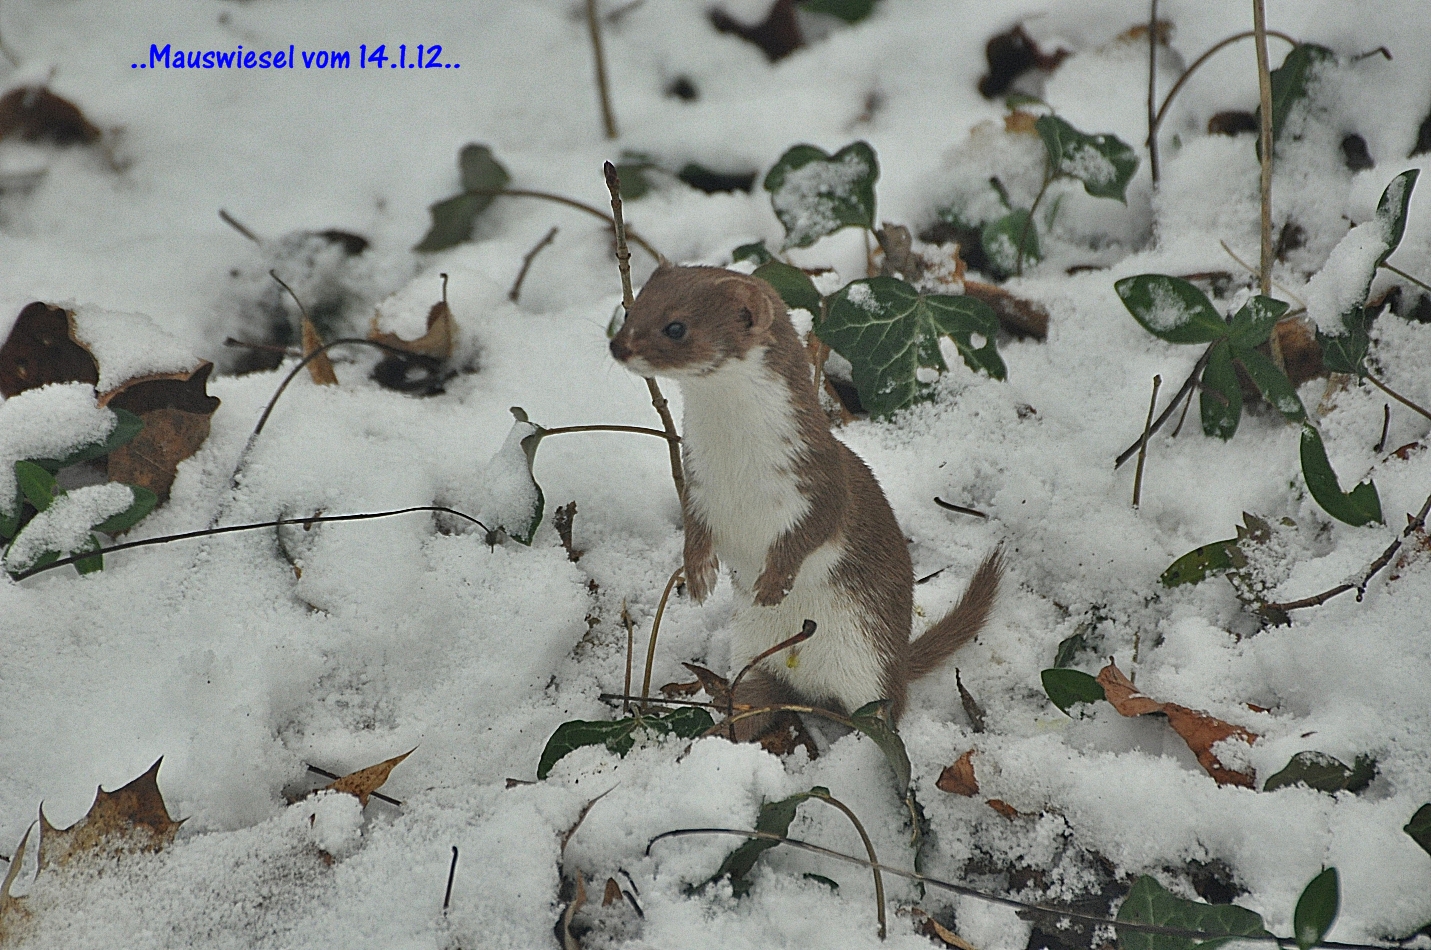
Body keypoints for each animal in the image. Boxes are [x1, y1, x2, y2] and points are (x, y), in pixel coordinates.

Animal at [609, 264, 1001, 732]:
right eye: (631, 309)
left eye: (676, 327)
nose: (617, 346)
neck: (737, 469)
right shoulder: (699, 488)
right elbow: (696, 533)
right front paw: (699, 575)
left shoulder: (820, 483)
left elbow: (811, 532)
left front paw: (773, 583)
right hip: (753, 657)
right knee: (753, 698)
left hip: (870, 672)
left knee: (880, 716)